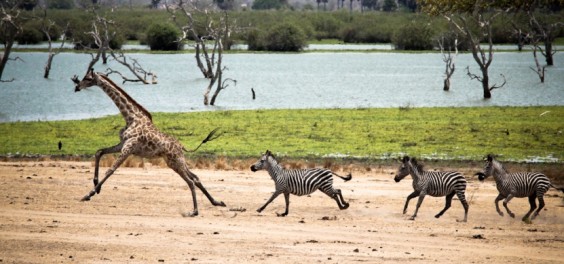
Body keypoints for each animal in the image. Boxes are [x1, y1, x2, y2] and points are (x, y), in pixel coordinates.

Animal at [71, 68, 226, 217]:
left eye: (88, 78)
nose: (77, 87)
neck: (131, 118)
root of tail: (181, 146)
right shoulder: (123, 145)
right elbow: (99, 152)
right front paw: (96, 186)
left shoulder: (129, 147)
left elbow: (111, 169)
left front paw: (88, 194)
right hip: (176, 161)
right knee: (196, 177)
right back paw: (217, 202)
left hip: (174, 162)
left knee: (191, 181)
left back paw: (194, 211)